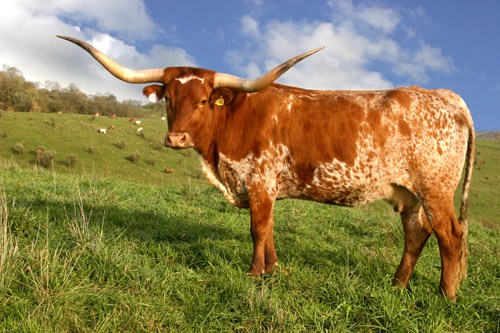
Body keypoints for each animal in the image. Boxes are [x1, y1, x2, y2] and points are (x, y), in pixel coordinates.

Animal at [56, 35, 474, 300]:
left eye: (204, 100)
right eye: (169, 98)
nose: (176, 138)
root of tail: (447, 96)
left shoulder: (258, 180)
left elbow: (257, 228)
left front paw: (254, 273)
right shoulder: (266, 186)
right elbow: (269, 227)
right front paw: (271, 270)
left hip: (435, 189)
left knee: (450, 235)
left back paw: (446, 295)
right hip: (410, 193)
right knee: (416, 235)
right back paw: (396, 285)